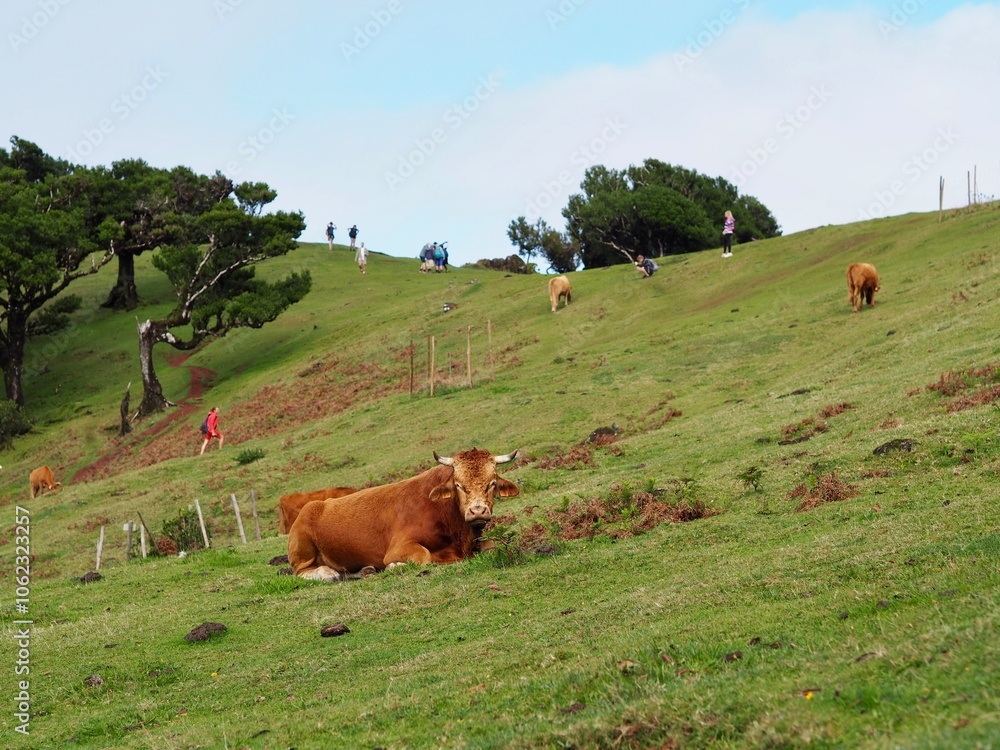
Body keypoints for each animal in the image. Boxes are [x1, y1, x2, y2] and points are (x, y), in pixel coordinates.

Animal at [288, 448, 520, 581]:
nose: (477, 511)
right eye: (459, 485)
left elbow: (492, 545)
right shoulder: (399, 547)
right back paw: (327, 573)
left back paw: (364, 571)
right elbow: (423, 556)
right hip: (303, 550)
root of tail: (315, 504)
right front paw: (394, 566)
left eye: (492, 483)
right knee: (302, 571)